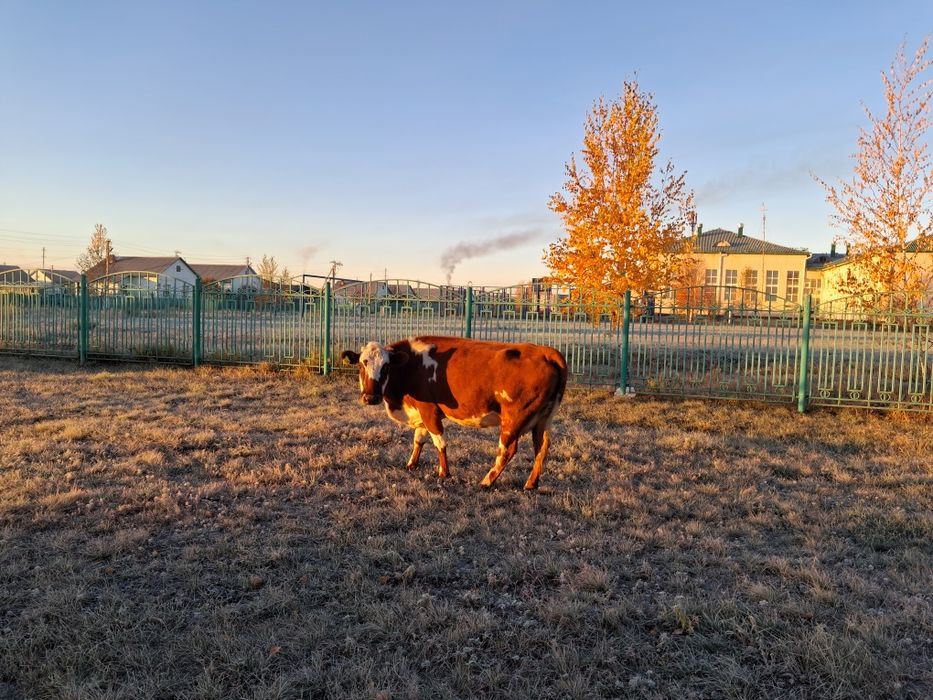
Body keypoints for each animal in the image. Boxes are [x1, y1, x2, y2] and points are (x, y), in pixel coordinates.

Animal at [340, 336, 568, 490]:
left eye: (386, 366)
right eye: (361, 365)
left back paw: (486, 481)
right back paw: (531, 483)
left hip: (514, 419)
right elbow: (418, 440)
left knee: (507, 451)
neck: (411, 366)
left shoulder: (429, 411)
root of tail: (545, 351)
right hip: (543, 419)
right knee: (542, 448)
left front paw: (444, 473)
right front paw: (411, 464)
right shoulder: (420, 413)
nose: (370, 398)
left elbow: (439, 443)